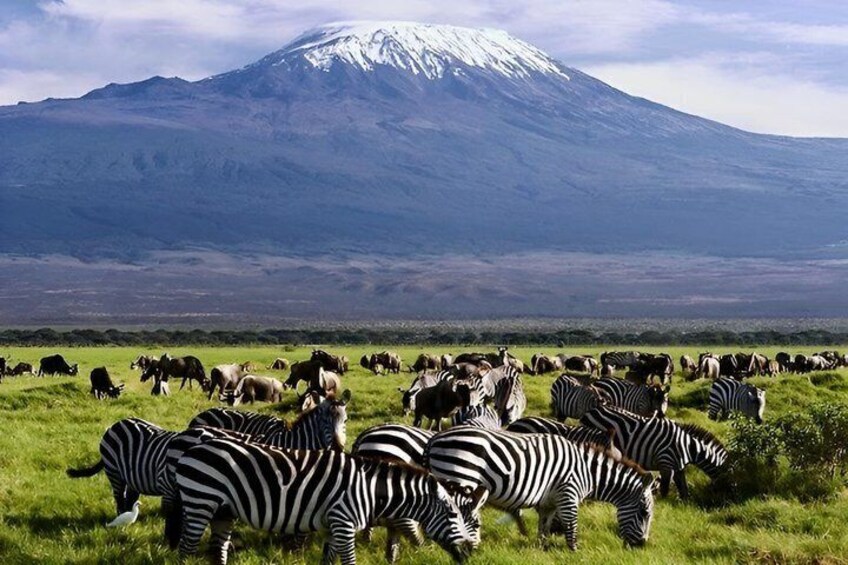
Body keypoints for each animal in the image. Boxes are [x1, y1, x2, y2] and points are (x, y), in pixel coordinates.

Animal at [173, 438, 488, 564]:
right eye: (453, 516)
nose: (468, 554)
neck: (370, 490)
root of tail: (193, 449)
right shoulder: (344, 523)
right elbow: (349, 561)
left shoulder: (332, 526)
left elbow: (329, 560)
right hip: (201, 502)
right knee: (186, 549)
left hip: (223, 511)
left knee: (218, 550)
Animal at [424, 427, 655, 548]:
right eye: (645, 513)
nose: (642, 545)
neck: (587, 472)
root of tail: (436, 438)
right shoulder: (568, 493)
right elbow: (572, 525)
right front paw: (574, 551)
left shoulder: (549, 502)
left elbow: (544, 527)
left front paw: (541, 549)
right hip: (459, 478)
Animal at [580, 405, 727, 498]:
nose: (719, 498)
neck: (688, 446)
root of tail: (589, 411)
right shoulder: (666, 463)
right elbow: (665, 488)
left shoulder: (678, 467)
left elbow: (683, 488)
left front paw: (685, 503)